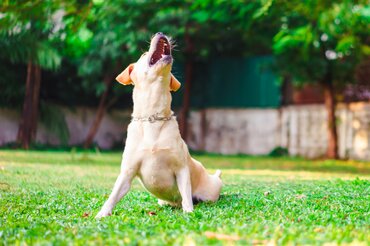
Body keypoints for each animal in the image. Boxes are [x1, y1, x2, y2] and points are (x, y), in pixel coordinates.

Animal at [96, 32, 223, 217]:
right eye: (143, 54)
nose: (160, 33)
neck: (153, 118)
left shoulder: (181, 169)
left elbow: (186, 193)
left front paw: (189, 213)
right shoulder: (127, 172)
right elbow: (114, 195)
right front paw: (102, 214)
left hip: (210, 193)